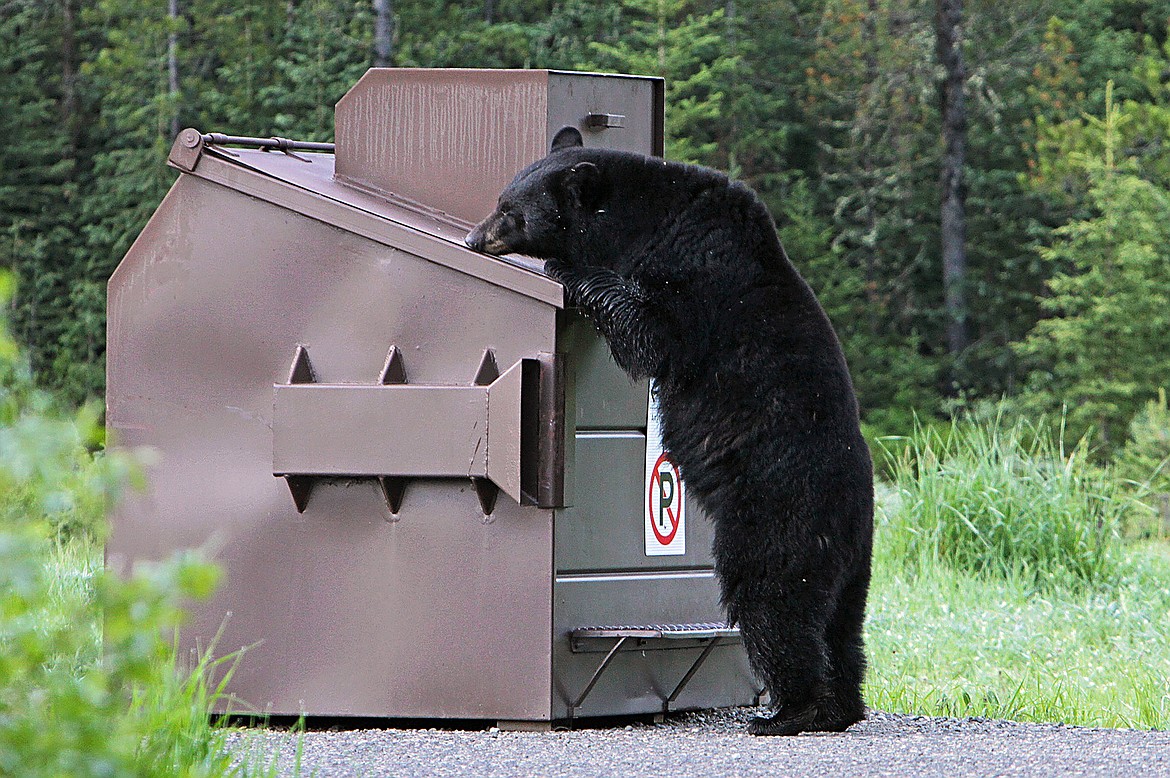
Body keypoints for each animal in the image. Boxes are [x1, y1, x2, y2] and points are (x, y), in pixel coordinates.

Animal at [465, 127, 870, 734]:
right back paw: (841, 705)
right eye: (500, 199)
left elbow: (653, 335)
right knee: (842, 627)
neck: (649, 220)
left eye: (512, 211)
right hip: (851, 563)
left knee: (773, 602)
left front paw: (570, 272)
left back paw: (790, 710)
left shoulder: (698, 274)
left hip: (778, 517)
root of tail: (850, 512)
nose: (473, 237)